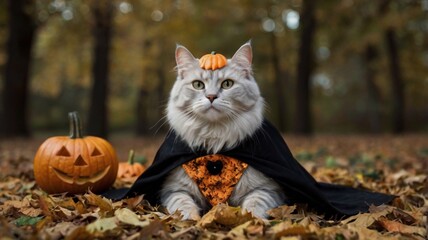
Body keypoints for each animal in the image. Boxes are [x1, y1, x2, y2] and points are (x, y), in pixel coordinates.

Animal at [158, 41, 284, 219]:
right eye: (198, 85)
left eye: (227, 84)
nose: (211, 97)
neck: (215, 137)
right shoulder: (173, 189)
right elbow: (182, 204)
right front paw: (192, 220)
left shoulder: (268, 188)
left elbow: (255, 203)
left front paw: (251, 220)